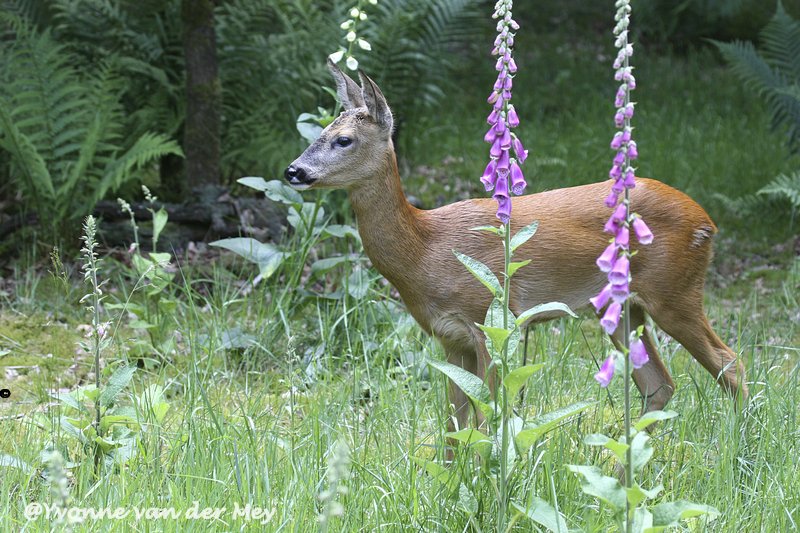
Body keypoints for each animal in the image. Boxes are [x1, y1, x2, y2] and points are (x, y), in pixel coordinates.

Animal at [284, 61, 748, 428]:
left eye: (343, 139)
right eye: (320, 131)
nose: (293, 171)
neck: (424, 250)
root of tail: (707, 222)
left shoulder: (490, 320)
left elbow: (488, 417)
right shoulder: (449, 338)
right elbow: (455, 425)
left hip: (675, 290)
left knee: (731, 363)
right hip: (623, 308)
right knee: (660, 384)